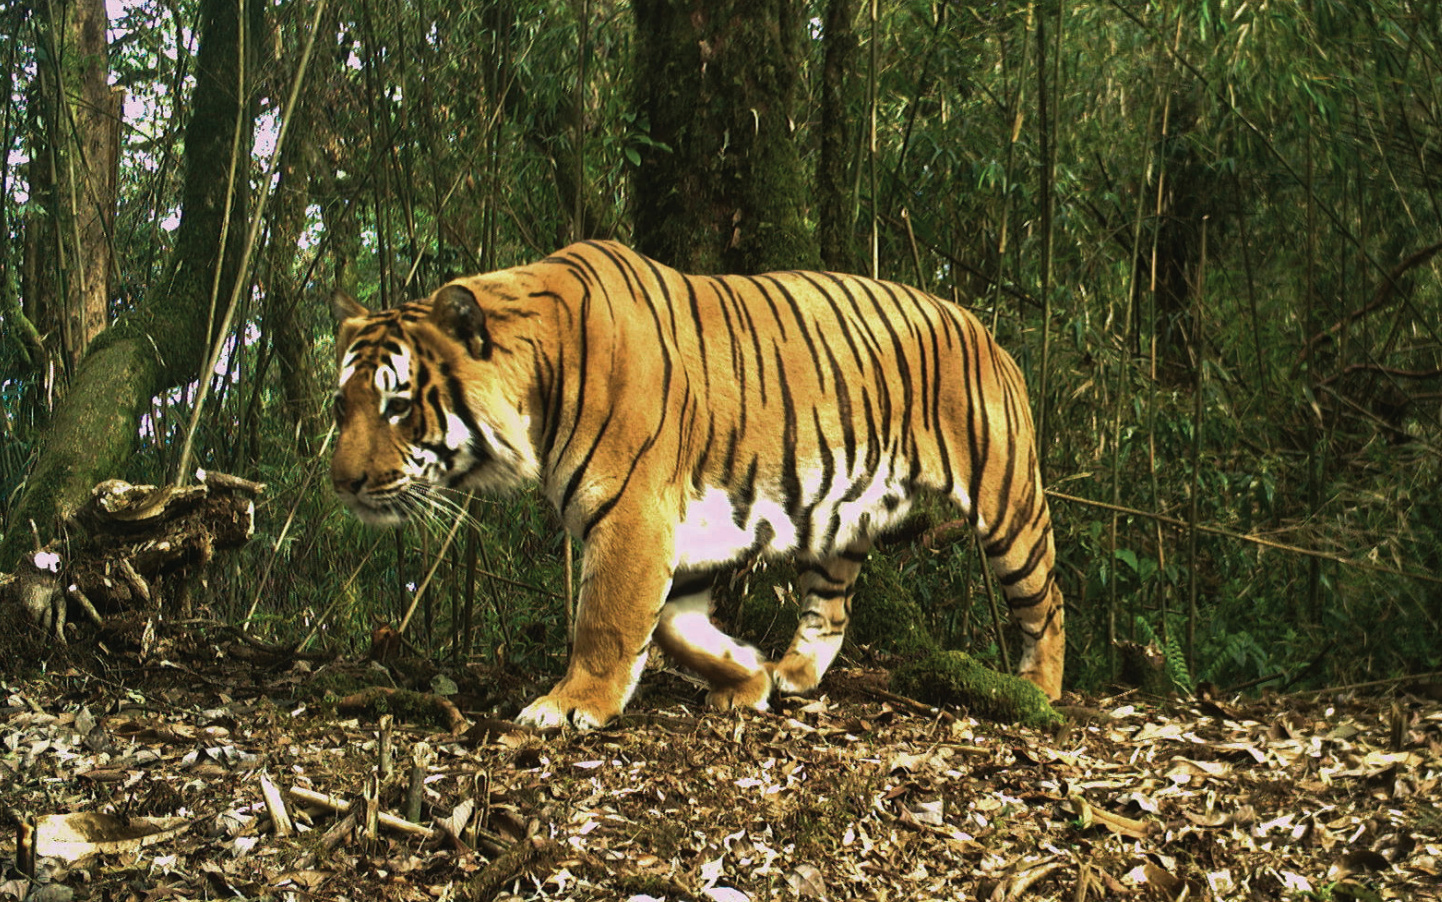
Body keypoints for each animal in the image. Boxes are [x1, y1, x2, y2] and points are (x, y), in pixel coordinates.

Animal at [331, 240, 1065, 730]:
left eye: (398, 405)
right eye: (343, 406)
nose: (341, 483)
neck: (537, 382)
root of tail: (985, 330)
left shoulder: (632, 513)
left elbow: (605, 619)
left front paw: (569, 705)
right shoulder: (693, 525)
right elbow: (673, 627)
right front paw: (747, 676)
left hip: (1007, 501)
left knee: (1047, 601)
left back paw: (1040, 692)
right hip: (840, 523)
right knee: (830, 612)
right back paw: (792, 675)